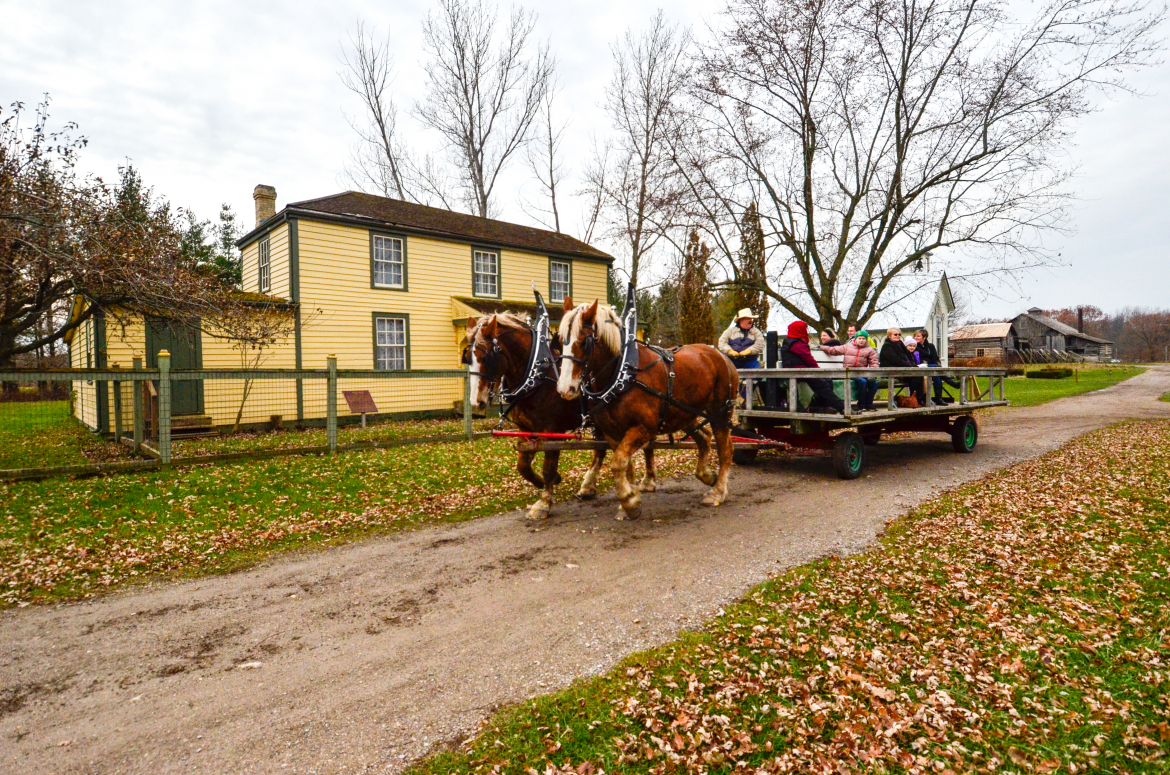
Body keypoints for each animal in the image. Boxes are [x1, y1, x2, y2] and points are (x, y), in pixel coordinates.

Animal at [554, 297, 734, 522]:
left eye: (583, 341)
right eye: (561, 339)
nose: (565, 388)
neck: (622, 375)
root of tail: (720, 355)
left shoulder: (644, 428)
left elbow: (617, 463)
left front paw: (629, 502)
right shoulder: (613, 433)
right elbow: (626, 465)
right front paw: (630, 499)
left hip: (720, 412)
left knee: (725, 449)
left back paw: (717, 492)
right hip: (685, 413)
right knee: (704, 437)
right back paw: (706, 475)